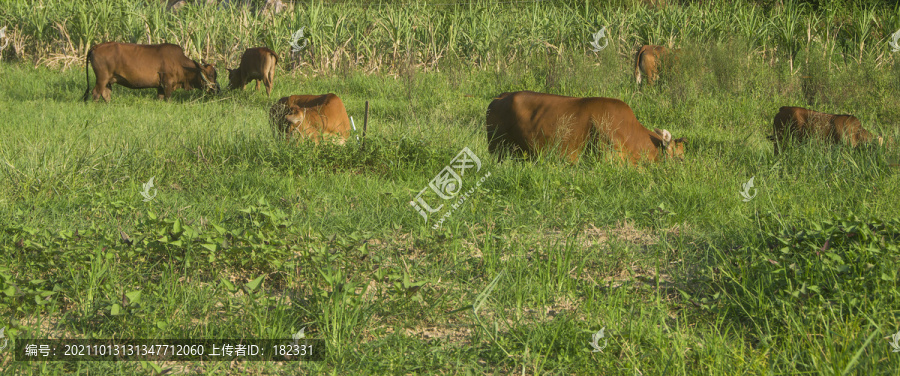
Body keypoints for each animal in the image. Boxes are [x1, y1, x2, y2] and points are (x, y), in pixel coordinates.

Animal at [82, 41, 220, 101]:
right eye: (210, 75)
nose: (217, 89)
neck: (179, 62)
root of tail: (96, 46)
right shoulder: (167, 83)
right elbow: (168, 98)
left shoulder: (160, 86)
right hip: (102, 78)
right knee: (96, 93)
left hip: (108, 80)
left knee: (106, 94)